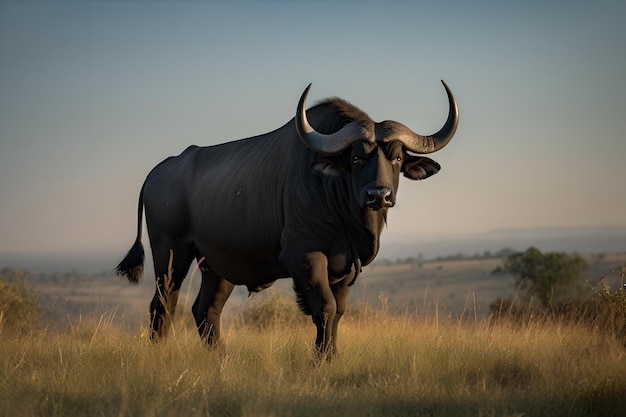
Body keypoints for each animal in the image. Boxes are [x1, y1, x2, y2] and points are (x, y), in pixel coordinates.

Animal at [117, 80, 456, 354]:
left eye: (397, 158)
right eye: (357, 157)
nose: (379, 195)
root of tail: (160, 170)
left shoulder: (347, 267)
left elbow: (339, 312)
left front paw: (331, 356)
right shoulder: (305, 257)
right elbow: (325, 308)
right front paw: (320, 359)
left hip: (217, 264)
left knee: (205, 310)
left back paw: (221, 358)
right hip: (170, 255)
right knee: (163, 305)